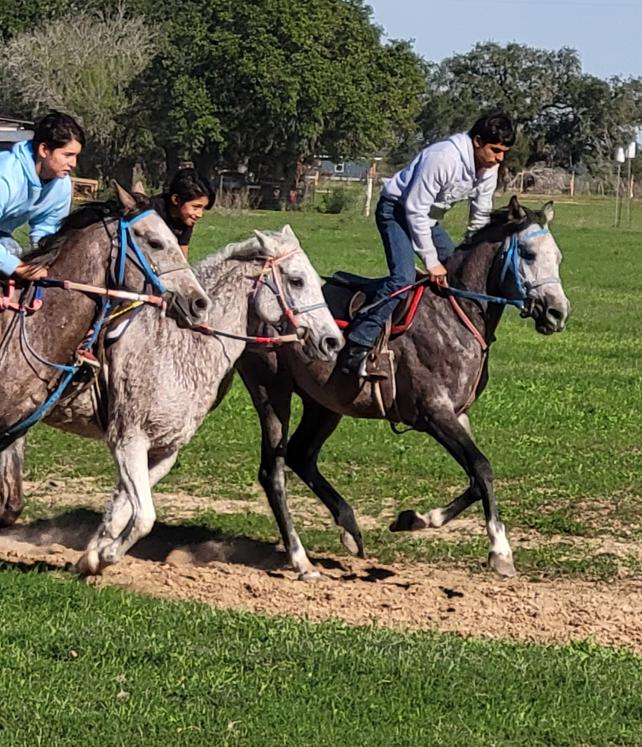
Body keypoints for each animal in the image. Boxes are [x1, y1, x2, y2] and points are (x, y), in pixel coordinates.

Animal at [0, 225, 343, 573]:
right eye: (297, 280)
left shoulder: (164, 450)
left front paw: (91, 557)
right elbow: (144, 517)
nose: (333, 341)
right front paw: (104, 556)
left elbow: (121, 511)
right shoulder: (128, 441)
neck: (180, 346)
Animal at [236, 197, 571, 579]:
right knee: (273, 472)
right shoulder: (435, 413)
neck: (455, 312)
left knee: (301, 455)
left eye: (558, 256)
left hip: (324, 404)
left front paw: (415, 519)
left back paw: (349, 528)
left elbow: (475, 478)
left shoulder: (458, 414)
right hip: (271, 391)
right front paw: (500, 551)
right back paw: (299, 557)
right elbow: (483, 468)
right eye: (528, 254)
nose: (558, 313)